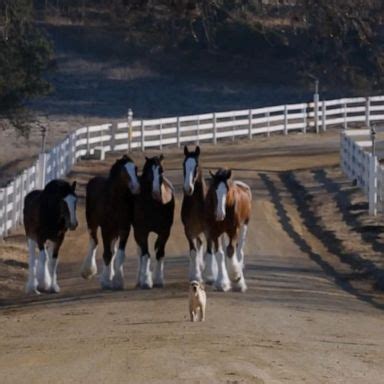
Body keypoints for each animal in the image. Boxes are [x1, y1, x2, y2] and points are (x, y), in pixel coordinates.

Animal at [80, 154, 140, 290]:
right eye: (124, 171)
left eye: (135, 168)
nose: (136, 187)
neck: (115, 202)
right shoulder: (106, 229)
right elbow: (107, 254)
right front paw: (106, 282)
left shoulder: (124, 229)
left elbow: (119, 255)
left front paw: (118, 281)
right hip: (92, 224)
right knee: (94, 242)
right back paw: (88, 271)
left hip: (114, 232)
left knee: (113, 250)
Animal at [132, 154, 174, 290]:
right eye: (149, 173)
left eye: (161, 171)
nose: (156, 193)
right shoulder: (141, 231)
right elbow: (145, 254)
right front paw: (146, 281)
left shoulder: (165, 231)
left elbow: (159, 252)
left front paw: (158, 280)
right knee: (140, 252)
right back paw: (139, 279)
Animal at [179, 146, 216, 284]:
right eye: (183, 164)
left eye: (196, 165)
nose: (188, 188)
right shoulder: (189, 230)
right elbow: (194, 251)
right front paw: (195, 275)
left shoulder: (209, 230)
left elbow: (210, 250)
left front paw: (210, 276)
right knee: (199, 243)